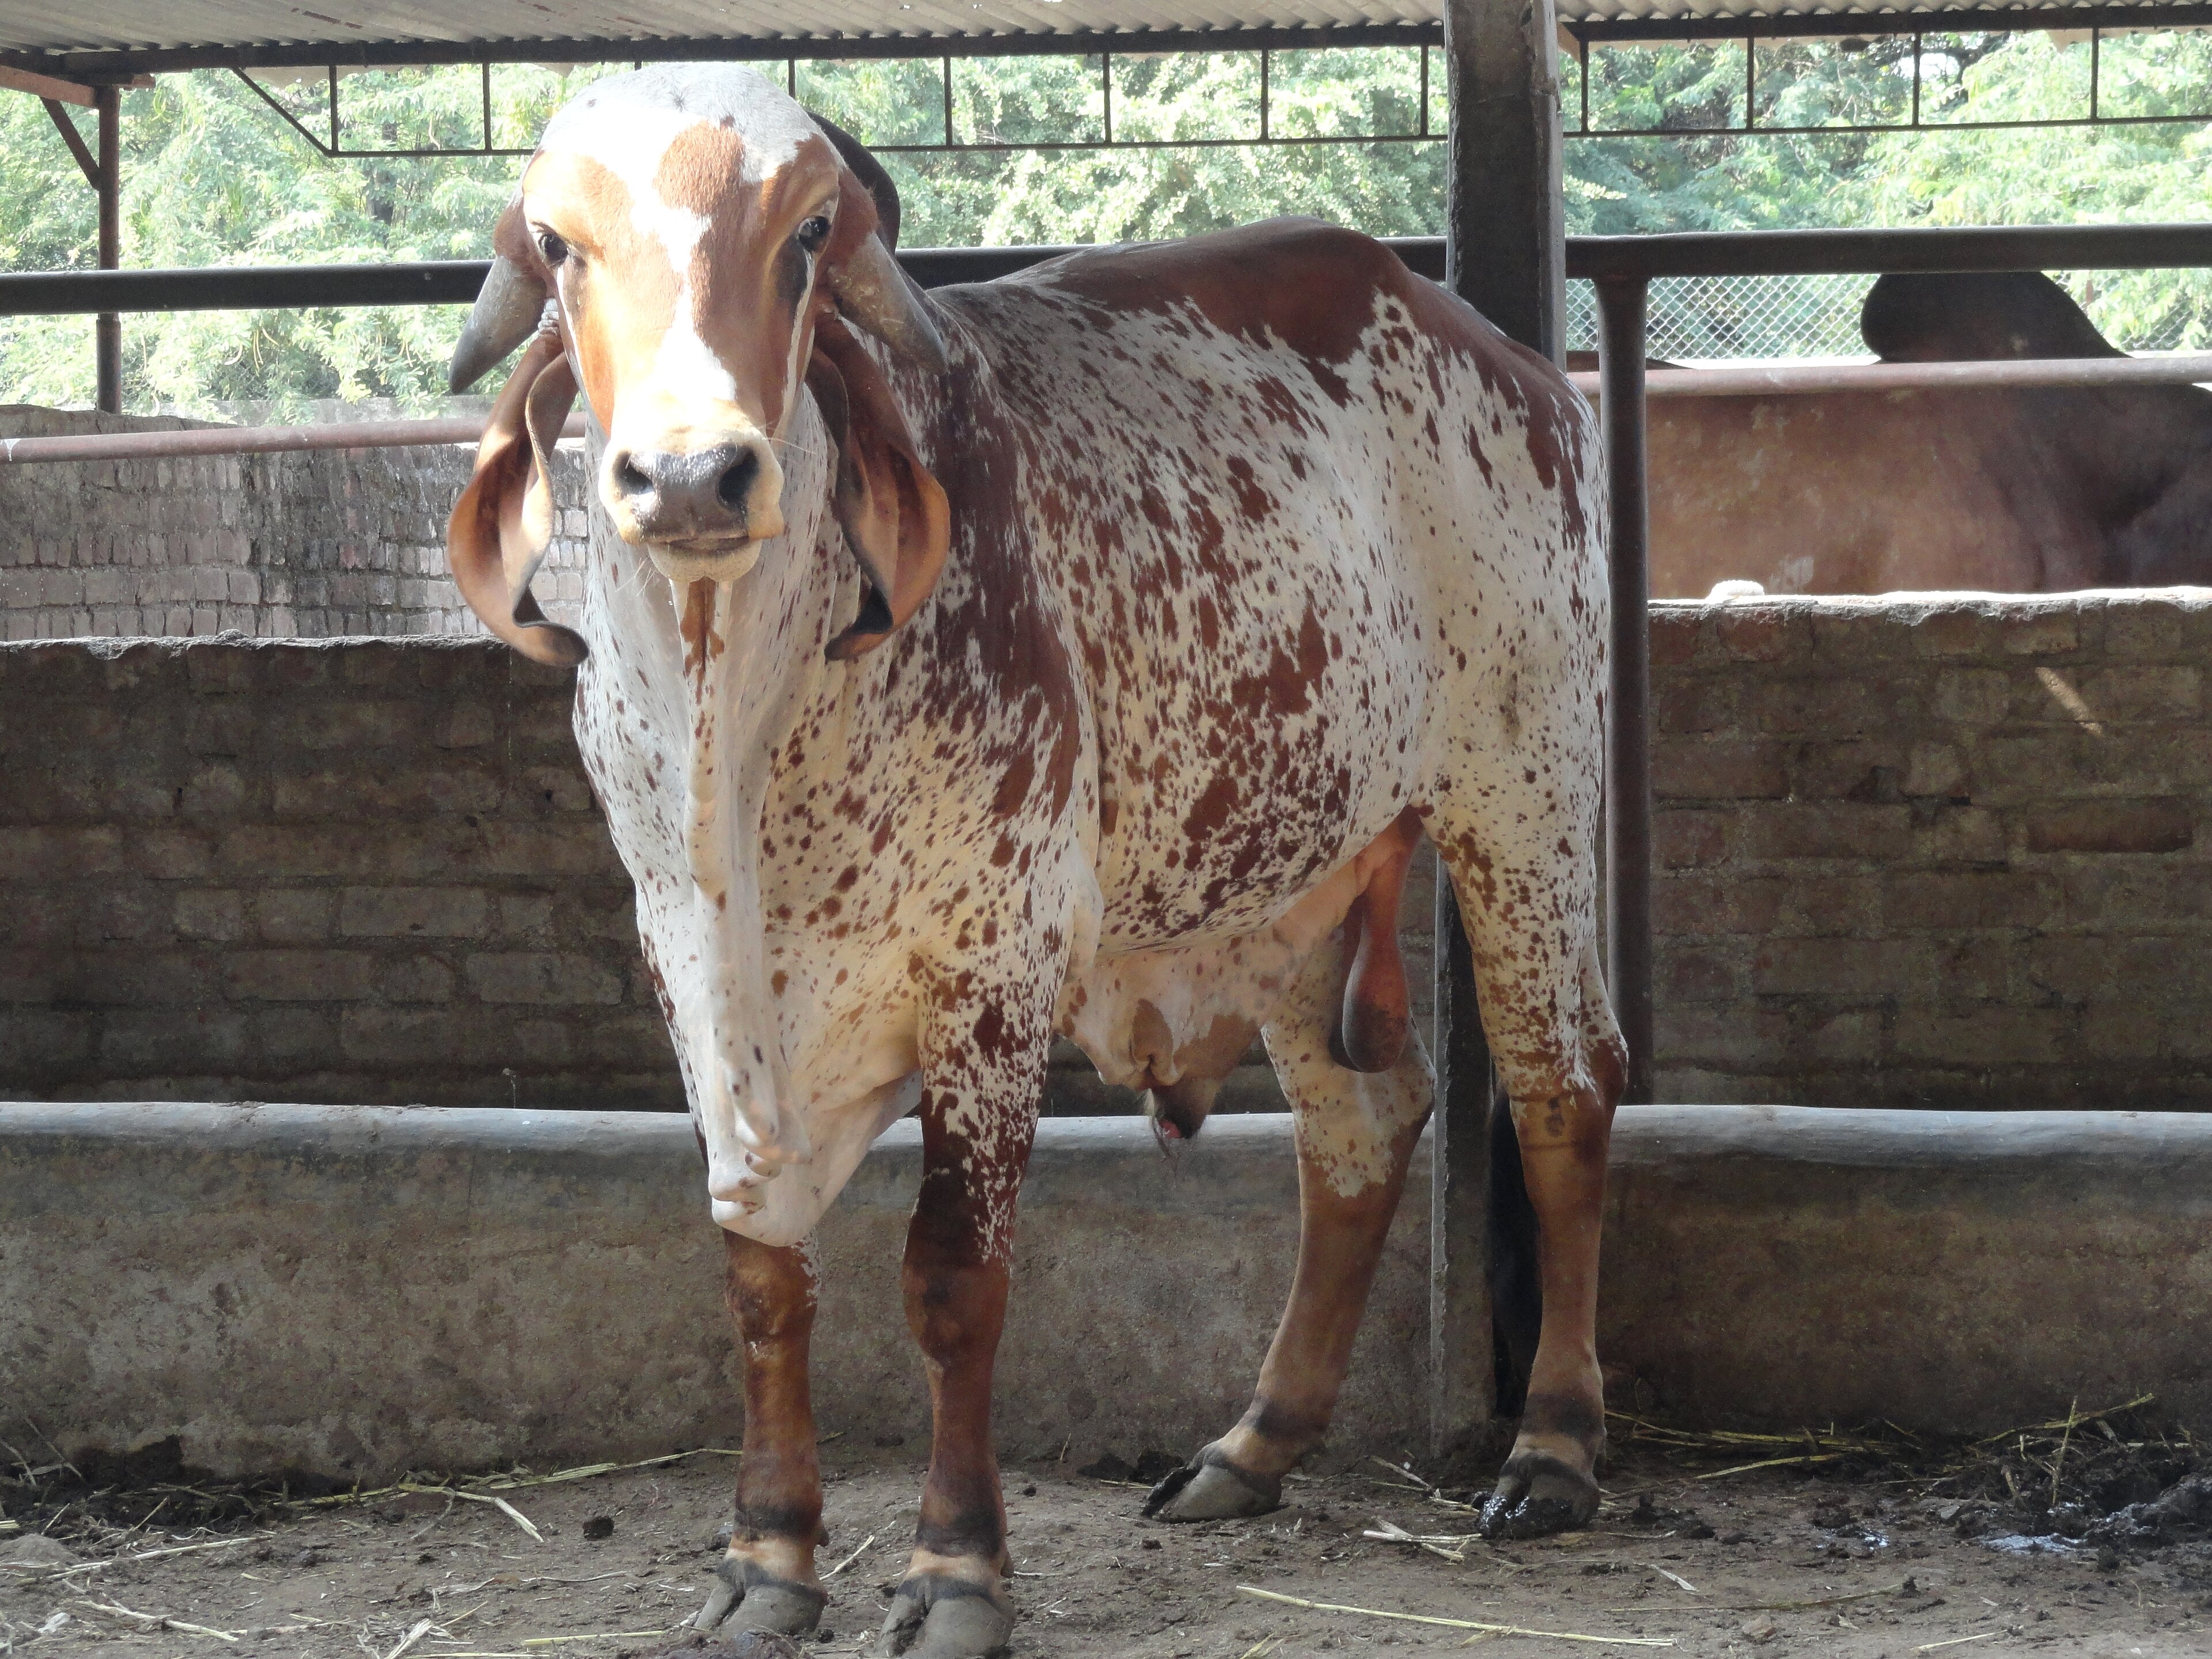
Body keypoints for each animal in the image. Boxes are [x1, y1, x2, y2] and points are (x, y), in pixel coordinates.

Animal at [443, 64, 1620, 1659]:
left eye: (808, 234)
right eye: (560, 244)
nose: (691, 474)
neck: (736, 723)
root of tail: (1494, 350)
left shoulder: (988, 965)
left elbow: (952, 1280)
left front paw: (954, 1571)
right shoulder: (689, 975)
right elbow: (760, 1274)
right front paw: (765, 1557)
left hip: (1528, 787)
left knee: (1562, 1095)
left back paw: (1552, 1448)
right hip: (1283, 872)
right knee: (1362, 1124)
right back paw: (1251, 1445)